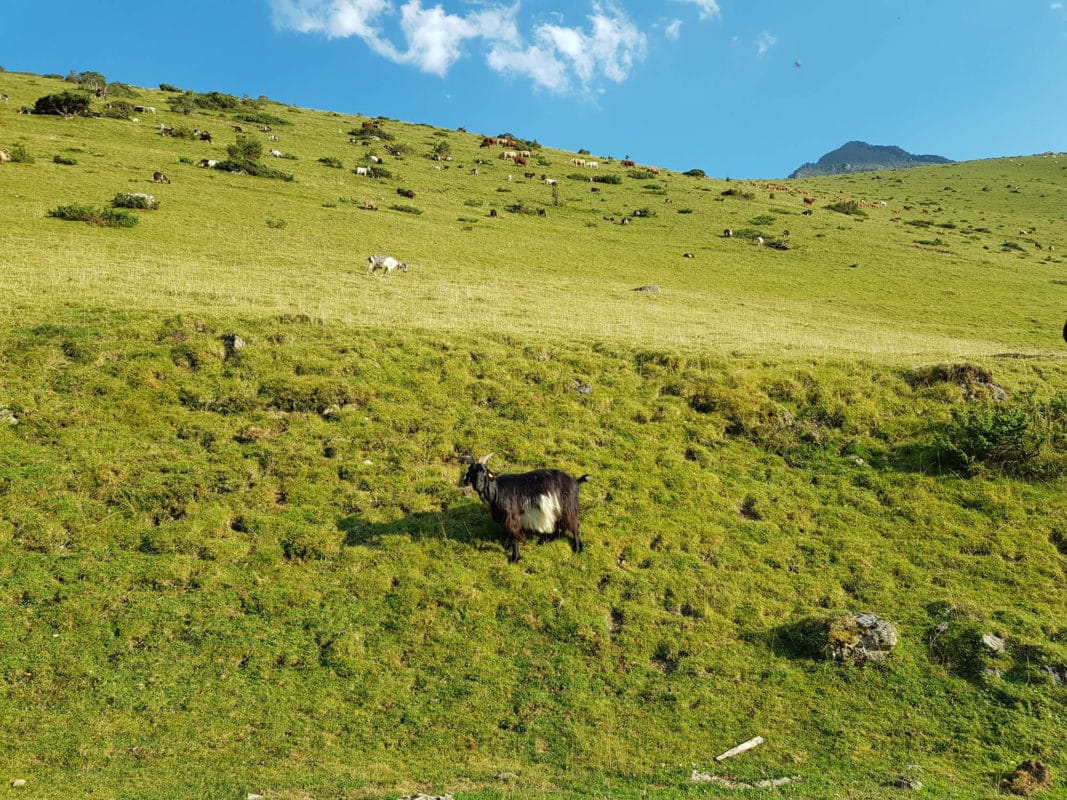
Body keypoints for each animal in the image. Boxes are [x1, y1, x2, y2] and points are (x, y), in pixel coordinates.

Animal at [458, 456, 593, 563]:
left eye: (485, 472)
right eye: (472, 472)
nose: (478, 485)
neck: (497, 490)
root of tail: (575, 481)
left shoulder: (512, 516)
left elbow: (513, 535)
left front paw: (514, 557)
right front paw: (508, 547)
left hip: (568, 506)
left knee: (573, 525)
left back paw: (577, 547)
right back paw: (545, 540)